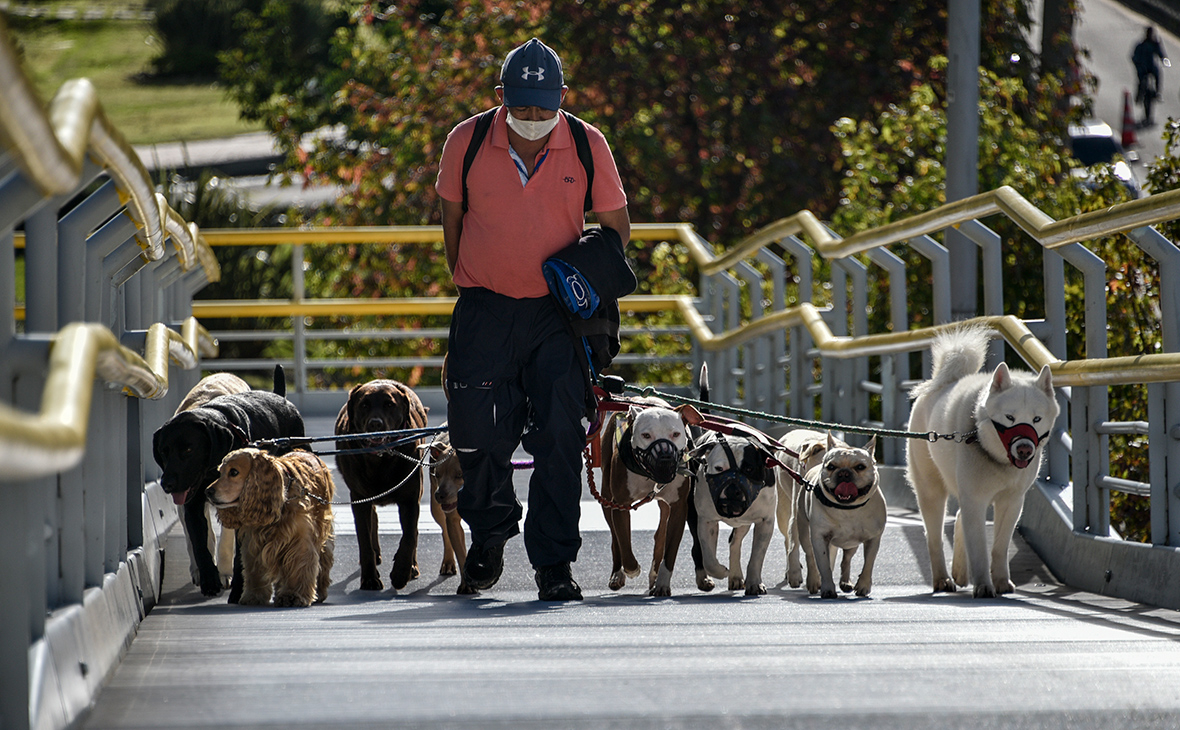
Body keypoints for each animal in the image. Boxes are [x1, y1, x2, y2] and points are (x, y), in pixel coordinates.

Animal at [207, 448, 335, 608]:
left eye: (234, 472)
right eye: (221, 472)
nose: (207, 492)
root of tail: (307, 451)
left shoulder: (299, 540)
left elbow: (299, 568)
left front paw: (293, 596)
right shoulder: (254, 543)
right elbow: (254, 573)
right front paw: (253, 596)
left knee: (324, 558)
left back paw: (319, 591)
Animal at [599, 396, 698, 596]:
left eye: (675, 434)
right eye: (646, 435)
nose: (665, 457)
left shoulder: (678, 507)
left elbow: (670, 550)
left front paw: (662, 583)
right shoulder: (620, 504)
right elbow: (624, 541)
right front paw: (632, 569)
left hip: (665, 507)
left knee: (660, 535)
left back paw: (654, 576)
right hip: (606, 496)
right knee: (615, 537)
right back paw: (617, 573)